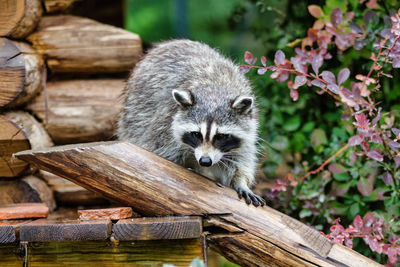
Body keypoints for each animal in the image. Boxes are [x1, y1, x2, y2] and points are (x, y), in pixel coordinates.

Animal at [116, 39, 266, 207]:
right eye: (196, 134)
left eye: (221, 136)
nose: (205, 161)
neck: (215, 90)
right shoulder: (164, 126)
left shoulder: (248, 128)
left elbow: (241, 157)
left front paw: (241, 181)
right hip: (134, 111)